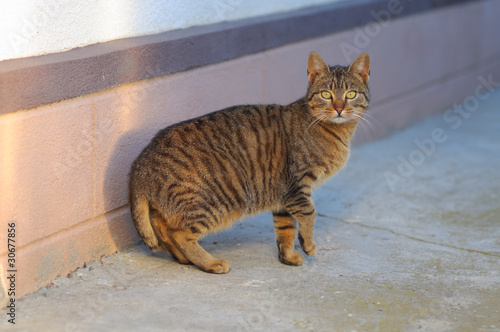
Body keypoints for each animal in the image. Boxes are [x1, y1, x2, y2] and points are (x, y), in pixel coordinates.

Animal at [129, 52, 372, 274]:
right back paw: (209, 263)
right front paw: (308, 244)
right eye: (326, 94)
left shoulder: (283, 196)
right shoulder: (297, 186)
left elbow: (285, 229)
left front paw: (288, 256)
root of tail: (141, 163)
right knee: (180, 233)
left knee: (163, 229)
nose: (339, 108)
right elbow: (308, 214)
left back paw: (182, 258)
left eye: (350, 94)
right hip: (215, 202)